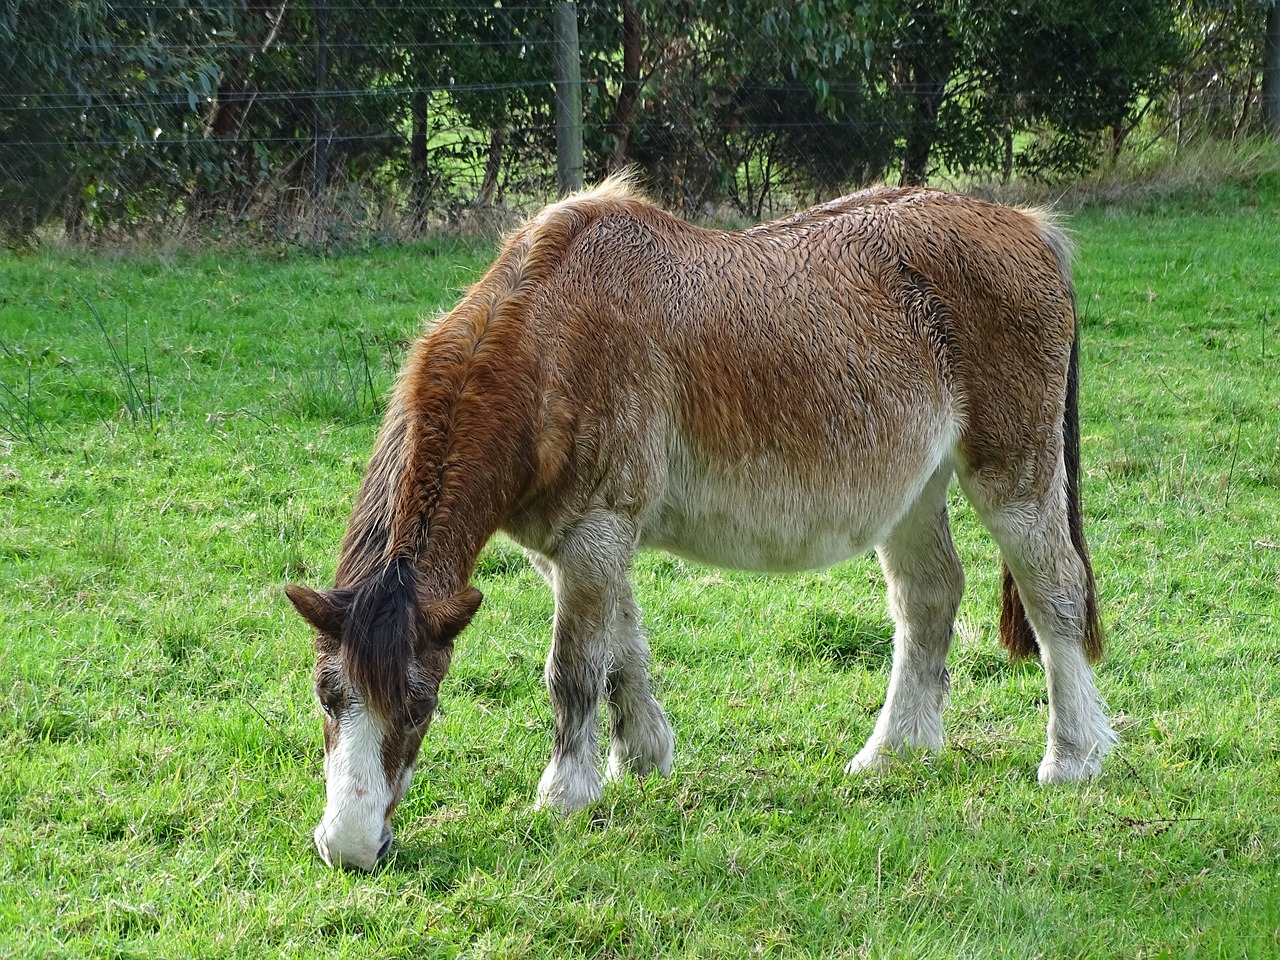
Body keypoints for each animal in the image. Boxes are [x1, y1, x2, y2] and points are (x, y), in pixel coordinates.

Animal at [285, 176, 1116, 875]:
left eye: (420, 704)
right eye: (328, 697)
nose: (350, 848)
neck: (549, 339)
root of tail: (1029, 228)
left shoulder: (595, 533)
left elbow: (573, 671)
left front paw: (565, 796)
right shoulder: (573, 548)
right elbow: (622, 653)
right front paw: (642, 758)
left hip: (1014, 476)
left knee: (1055, 594)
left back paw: (1072, 757)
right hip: (914, 493)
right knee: (929, 600)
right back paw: (893, 753)